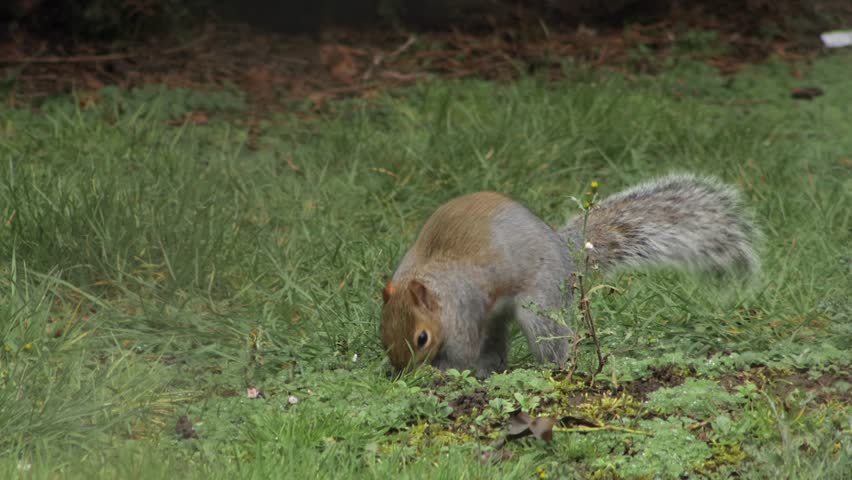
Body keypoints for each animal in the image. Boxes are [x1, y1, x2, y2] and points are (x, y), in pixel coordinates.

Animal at [380, 174, 760, 378]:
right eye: (383, 335)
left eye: (422, 338)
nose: (401, 372)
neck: (435, 282)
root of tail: (566, 254)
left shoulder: (465, 311)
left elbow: (461, 355)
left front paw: (437, 374)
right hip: (499, 319)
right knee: (495, 350)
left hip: (540, 306)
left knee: (551, 344)